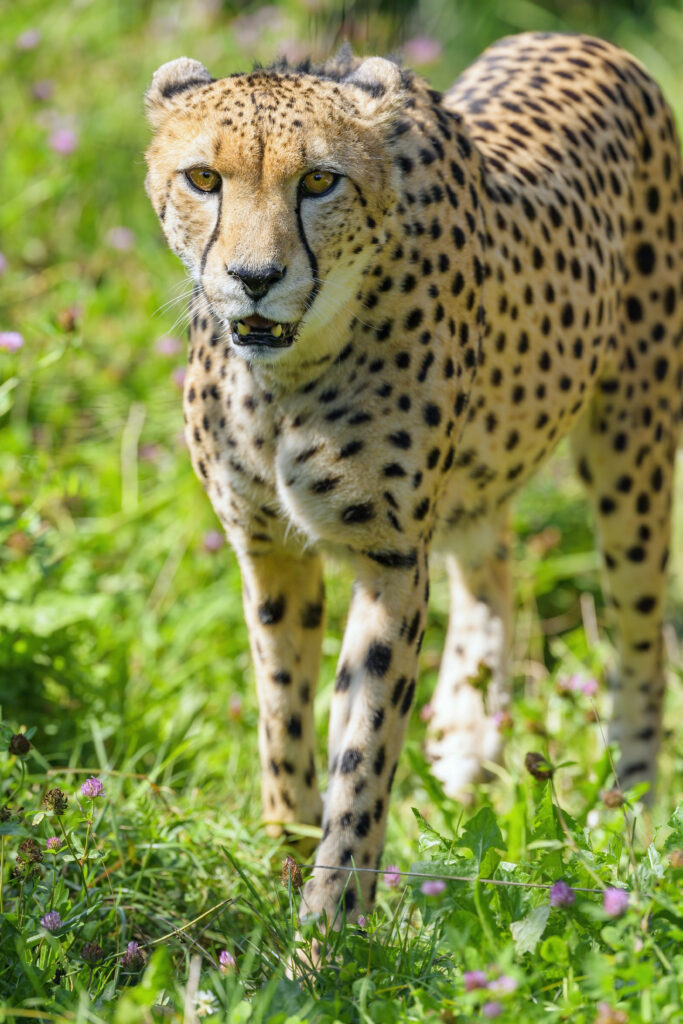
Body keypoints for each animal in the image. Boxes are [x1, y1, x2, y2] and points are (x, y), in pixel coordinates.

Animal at [144, 32, 683, 930]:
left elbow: (364, 744)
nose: (255, 277)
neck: (290, 373)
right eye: (204, 179)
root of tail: (585, 40)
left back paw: (631, 818)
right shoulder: (266, 549)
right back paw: (464, 745)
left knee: (639, 640)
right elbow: (281, 714)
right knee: (490, 563)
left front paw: (331, 923)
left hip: (631, 449)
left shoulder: (390, 559)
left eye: (318, 181)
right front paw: (285, 859)